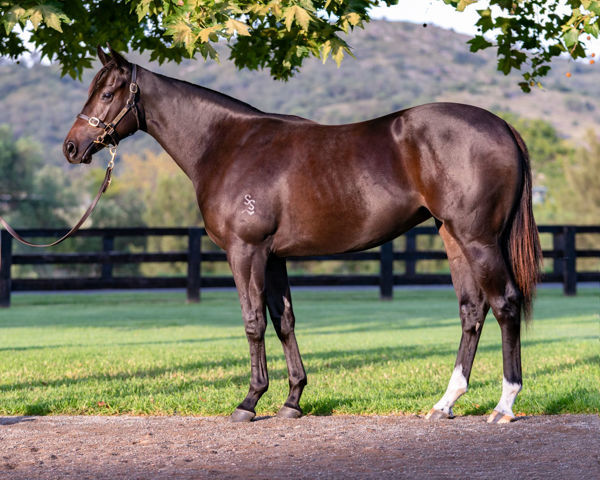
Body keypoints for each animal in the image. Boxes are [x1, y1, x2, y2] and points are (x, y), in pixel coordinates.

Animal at [63, 47, 540, 424]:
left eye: (107, 94)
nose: (71, 147)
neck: (229, 145)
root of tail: (502, 127)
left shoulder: (246, 252)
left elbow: (253, 322)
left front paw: (249, 401)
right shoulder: (274, 256)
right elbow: (284, 320)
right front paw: (292, 401)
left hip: (478, 240)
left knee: (504, 304)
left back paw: (504, 404)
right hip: (453, 238)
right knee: (471, 311)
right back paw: (446, 403)